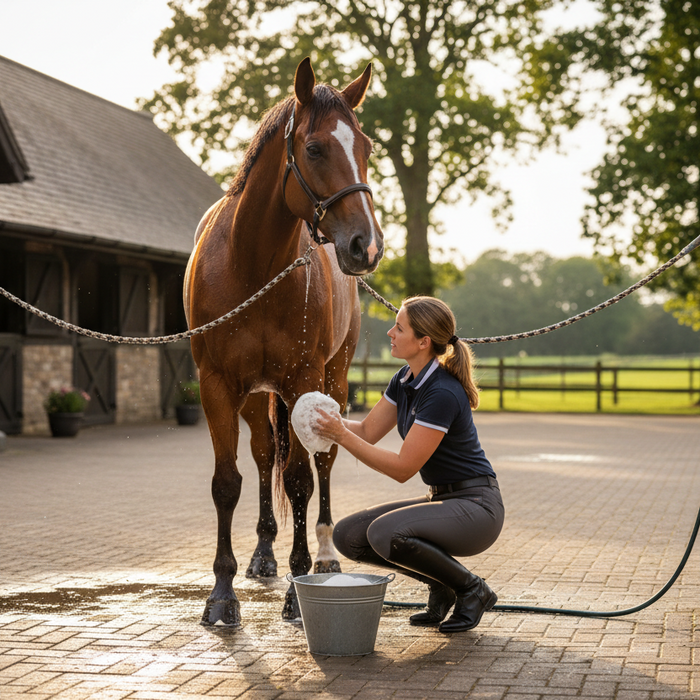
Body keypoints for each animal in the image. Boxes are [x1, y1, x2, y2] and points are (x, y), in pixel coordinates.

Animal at [184, 58, 384, 625]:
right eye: (314, 148)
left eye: (366, 148)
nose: (366, 246)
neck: (251, 266)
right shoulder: (217, 385)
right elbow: (227, 482)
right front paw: (222, 595)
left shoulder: (303, 381)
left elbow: (299, 480)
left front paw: (299, 592)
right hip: (257, 397)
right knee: (262, 455)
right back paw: (263, 554)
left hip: (332, 381)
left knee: (322, 463)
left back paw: (323, 557)